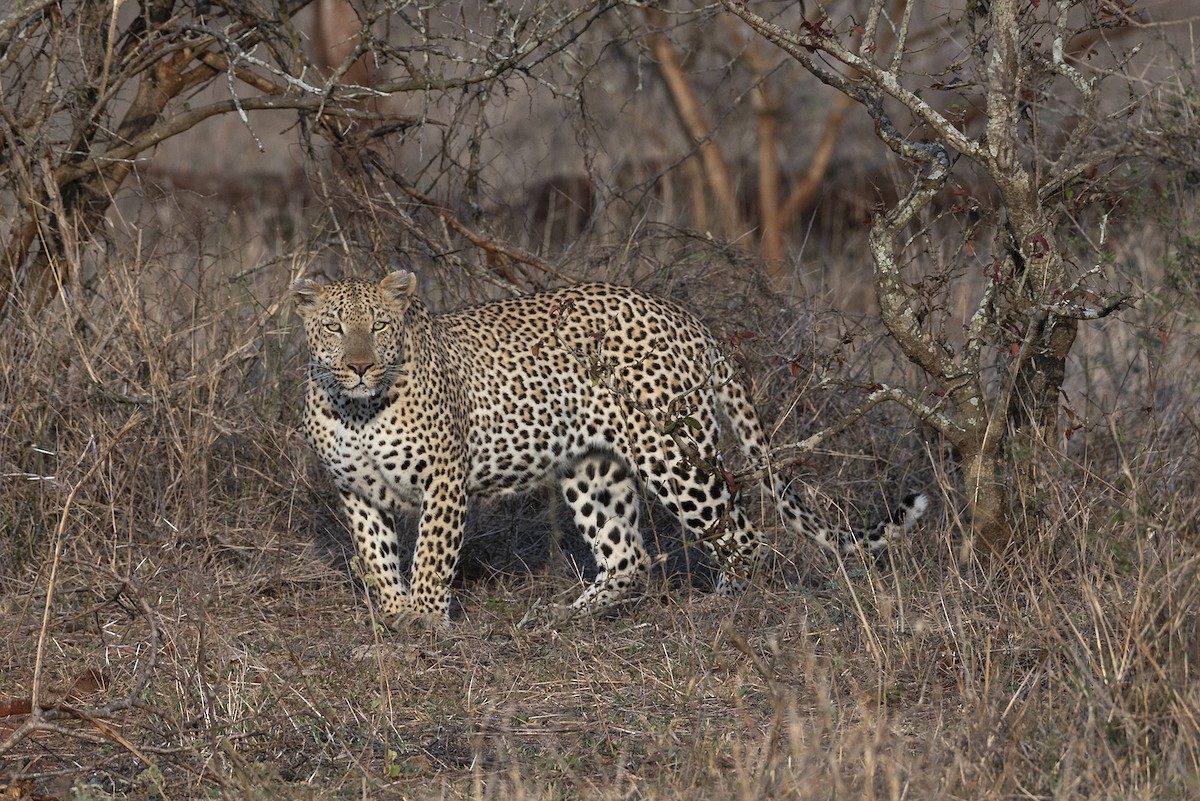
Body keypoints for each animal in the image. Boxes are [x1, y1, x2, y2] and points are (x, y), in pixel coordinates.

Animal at [290, 271, 928, 624]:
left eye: (378, 326)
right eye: (334, 327)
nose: (359, 365)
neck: (357, 408)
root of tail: (690, 319)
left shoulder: (444, 479)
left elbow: (430, 557)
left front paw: (424, 622)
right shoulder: (355, 492)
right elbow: (378, 560)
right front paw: (397, 618)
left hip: (674, 455)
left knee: (742, 532)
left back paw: (727, 606)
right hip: (592, 467)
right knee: (628, 554)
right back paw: (563, 617)